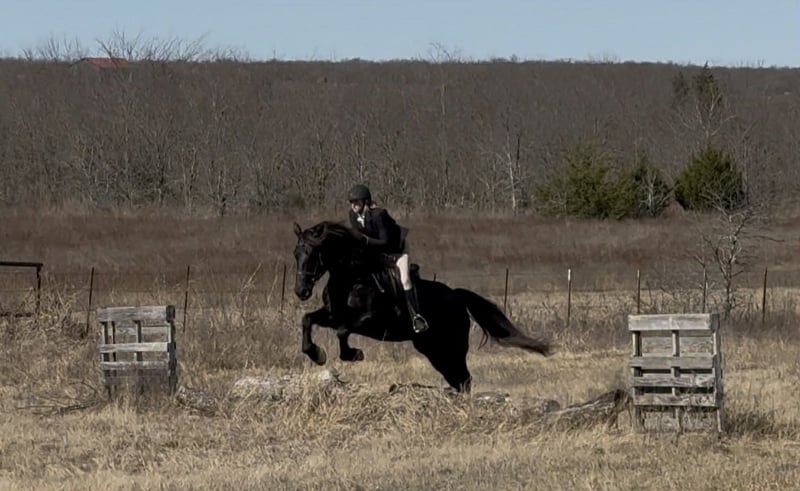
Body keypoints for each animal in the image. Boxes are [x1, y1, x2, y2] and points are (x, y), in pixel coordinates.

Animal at [292, 220, 553, 393]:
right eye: (296, 254)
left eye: (313, 253)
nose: (301, 291)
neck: (352, 276)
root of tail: (456, 297)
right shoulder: (333, 314)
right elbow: (308, 319)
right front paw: (316, 354)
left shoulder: (369, 320)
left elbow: (342, 331)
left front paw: (353, 354)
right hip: (432, 349)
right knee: (459, 379)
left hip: (451, 346)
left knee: (464, 378)